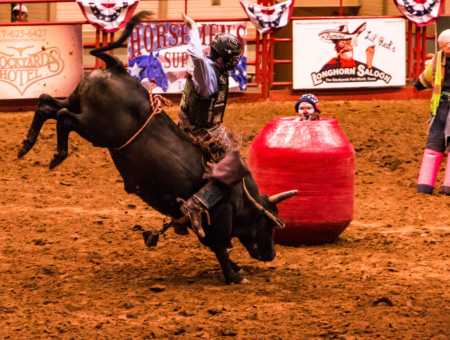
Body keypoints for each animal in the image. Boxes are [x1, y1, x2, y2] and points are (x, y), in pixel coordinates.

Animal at [17, 11, 298, 284]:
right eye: (269, 224)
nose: (272, 254)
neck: (241, 196)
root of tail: (116, 69)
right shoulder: (219, 218)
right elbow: (220, 247)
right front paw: (234, 276)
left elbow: (214, 246)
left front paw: (236, 268)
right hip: (96, 128)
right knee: (63, 117)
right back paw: (57, 154)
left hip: (78, 103)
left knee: (47, 104)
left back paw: (26, 145)